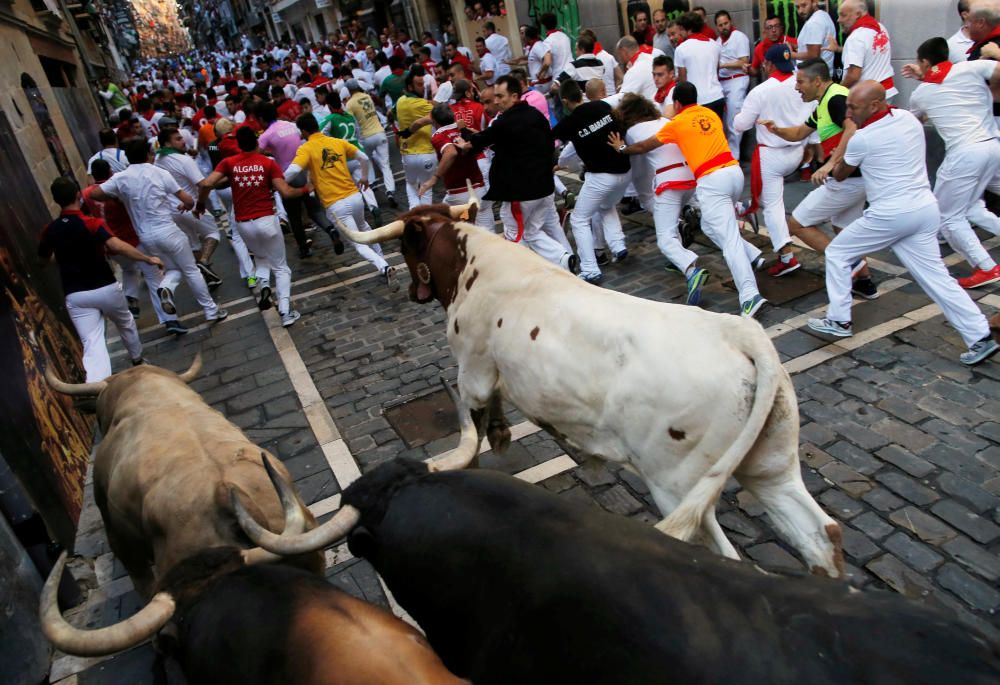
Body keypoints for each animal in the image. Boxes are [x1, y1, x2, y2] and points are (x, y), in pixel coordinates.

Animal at [334, 191, 844, 576]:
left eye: (406, 248)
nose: (410, 291)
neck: (472, 264)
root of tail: (739, 333)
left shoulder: (472, 367)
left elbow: (472, 426)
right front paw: (502, 433)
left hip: (678, 486)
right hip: (772, 465)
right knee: (820, 535)